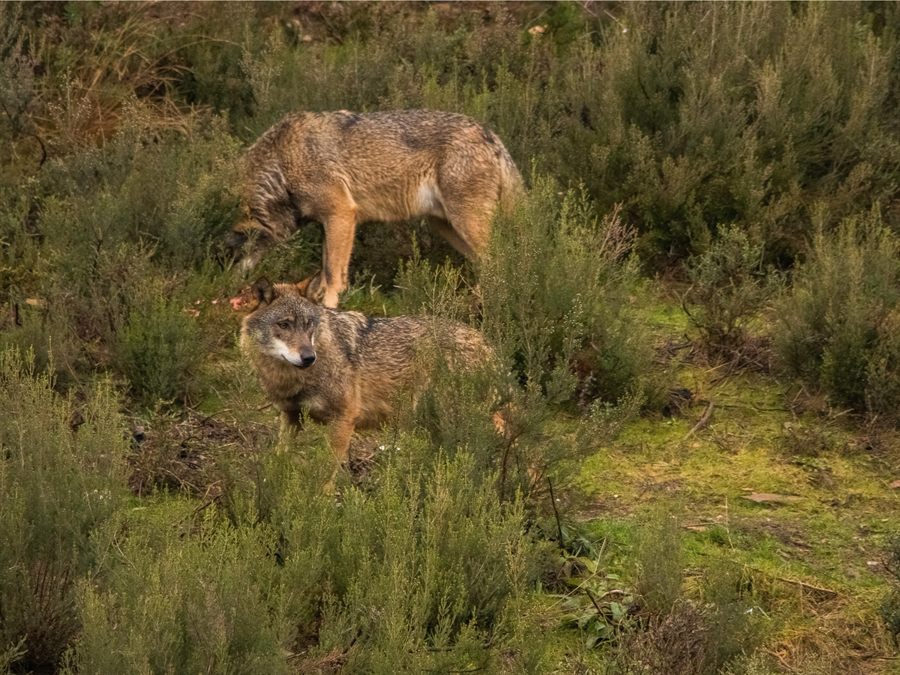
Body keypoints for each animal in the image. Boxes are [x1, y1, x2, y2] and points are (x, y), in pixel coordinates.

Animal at [228, 109, 523, 308]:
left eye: (228, 251)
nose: (224, 282)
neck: (281, 166)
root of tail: (491, 136)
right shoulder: (328, 223)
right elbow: (324, 272)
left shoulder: (342, 214)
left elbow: (333, 276)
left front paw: (328, 311)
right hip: (446, 227)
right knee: (487, 266)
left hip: (466, 223)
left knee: (499, 263)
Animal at [240, 278, 493, 467]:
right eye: (284, 325)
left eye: (308, 324)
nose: (309, 357)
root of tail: (485, 342)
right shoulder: (290, 416)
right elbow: (279, 458)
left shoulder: (343, 419)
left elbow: (326, 472)